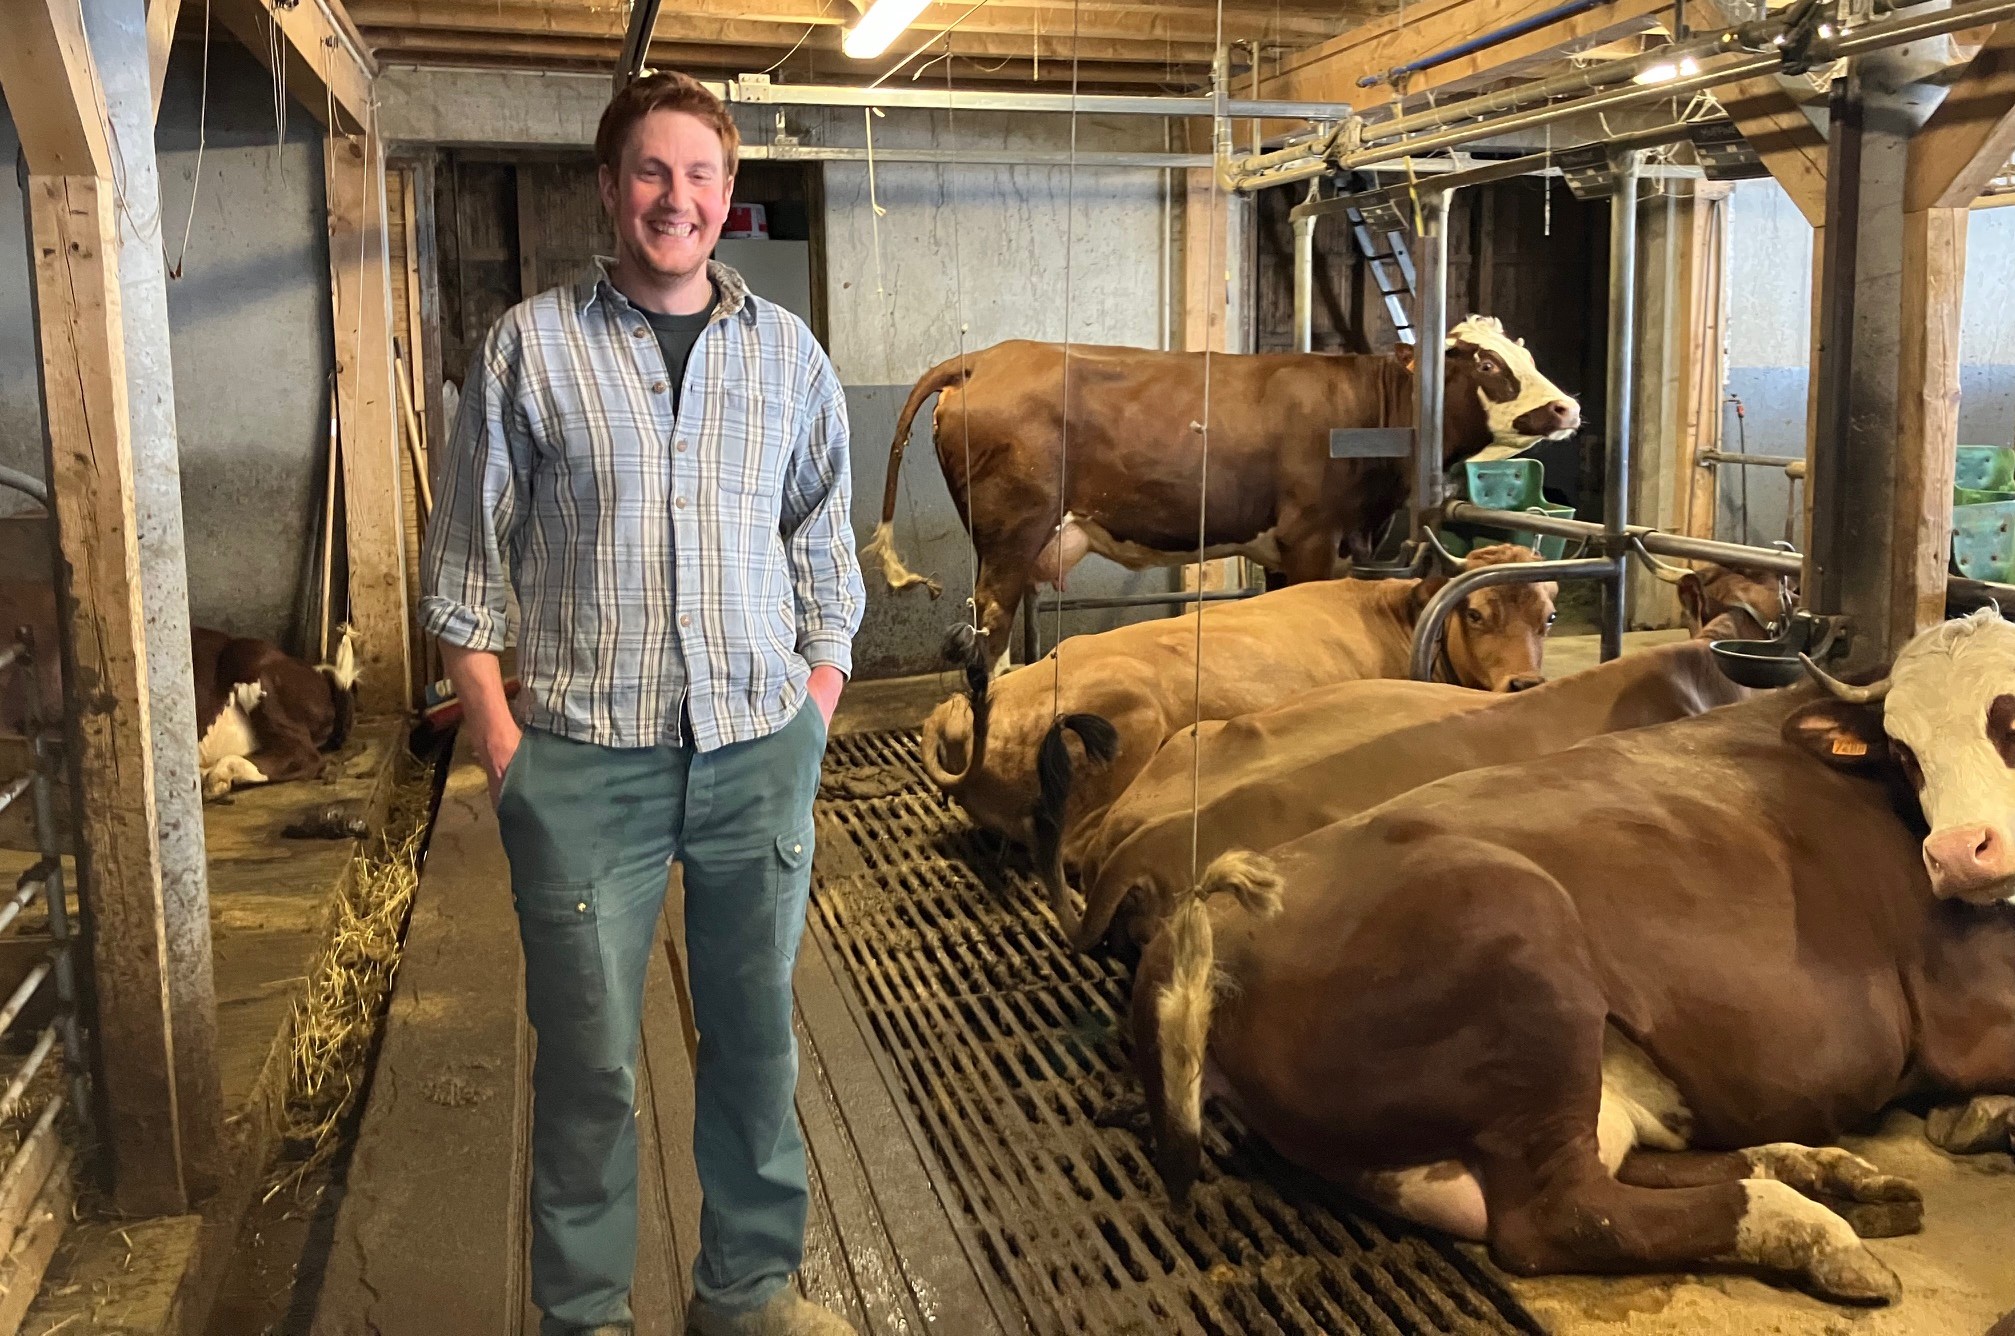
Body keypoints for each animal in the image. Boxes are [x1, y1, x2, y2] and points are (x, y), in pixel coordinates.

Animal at [858, 314, 1579, 669]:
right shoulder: (1313, 538)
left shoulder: (1293, 549)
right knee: (990, 633)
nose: (1568, 407)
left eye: (1524, 354)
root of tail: (986, 357)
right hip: (1009, 540)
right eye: (1486, 363)